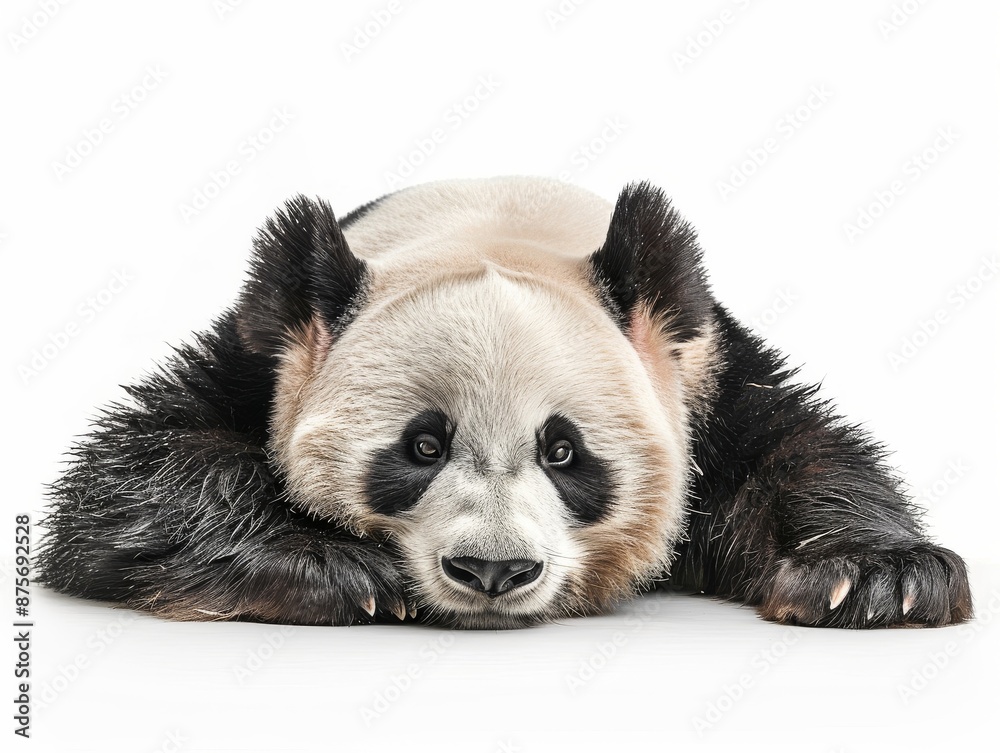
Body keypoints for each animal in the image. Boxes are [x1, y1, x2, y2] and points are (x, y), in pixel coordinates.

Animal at [38, 176, 972, 630]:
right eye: (421, 447)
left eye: (564, 451)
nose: (492, 571)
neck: (495, 221)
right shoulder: (257, 359)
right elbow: (132, 479)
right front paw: (330, 566)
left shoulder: (702, 368)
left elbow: (799, 455)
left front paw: (875, 577)